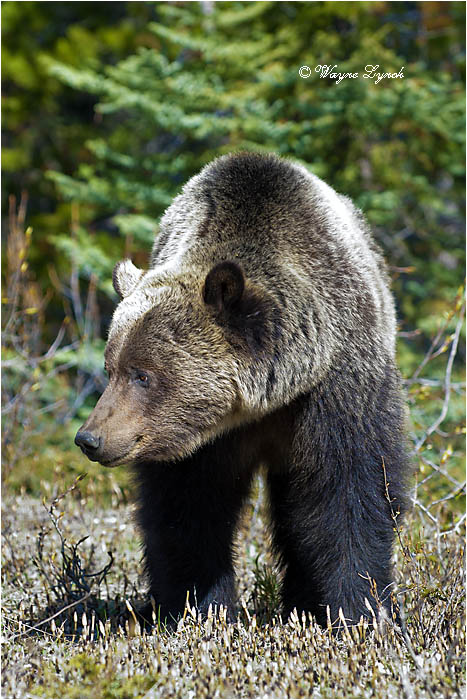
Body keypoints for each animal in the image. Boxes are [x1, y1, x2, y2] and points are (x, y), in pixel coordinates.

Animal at [75, 152, 408, 627]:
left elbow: (347, 491)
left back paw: (302, 603)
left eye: (143, 374)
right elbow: (189, 507)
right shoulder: (199, 440)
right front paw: (200, 605)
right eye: (111, 368)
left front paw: (360, 608)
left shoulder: (338, 383)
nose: (90, 438)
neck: (269, 399)